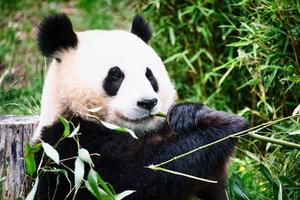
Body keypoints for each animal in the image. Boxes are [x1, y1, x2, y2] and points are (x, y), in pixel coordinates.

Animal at [32, 13, 248, 199]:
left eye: (149, 75)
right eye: (115, 75)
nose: (148, 103)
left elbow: (209, 182)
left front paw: (187, 114)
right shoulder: (74, 147)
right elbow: (141, 175)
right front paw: (225, 125)